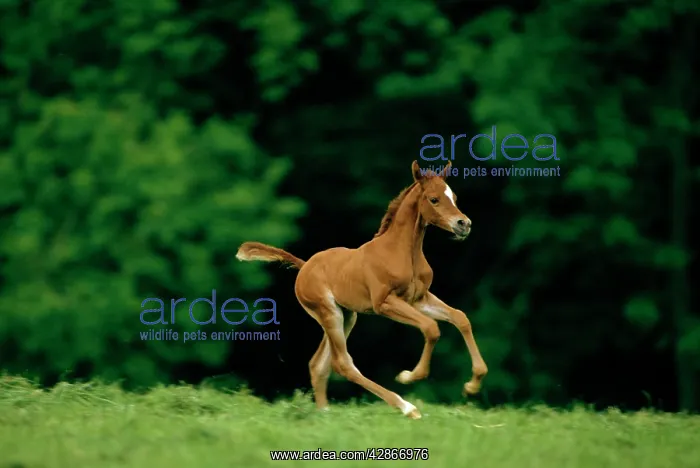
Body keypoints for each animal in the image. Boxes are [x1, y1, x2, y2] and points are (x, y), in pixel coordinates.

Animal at [236, 160, 487, 419]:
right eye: (434, 199)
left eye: (454, 197)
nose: (464, 224)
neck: (403, 252)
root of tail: (304, 266)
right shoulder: (384, 303)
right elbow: (431, 328)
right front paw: (410, 376)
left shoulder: (419, 299)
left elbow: (460, 317)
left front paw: (472, 384)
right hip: (329, 313)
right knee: (342, 364)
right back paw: (406, 407)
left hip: (347, 316)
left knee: (319, 364)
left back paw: (325, 414)